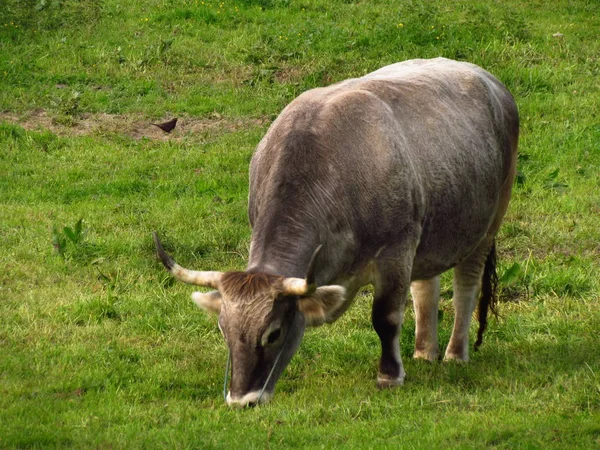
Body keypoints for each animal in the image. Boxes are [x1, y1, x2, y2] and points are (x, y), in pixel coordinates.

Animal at [155, 57, 520, 408]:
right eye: (223, 330)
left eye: (274, 333)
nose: (241, 400)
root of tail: (487, 79)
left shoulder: (396, 252)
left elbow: (386, 318)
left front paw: (389, 375)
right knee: (425, 287)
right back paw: (423, 352)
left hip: (488, 224)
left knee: (465, 286)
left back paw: (455, 354)